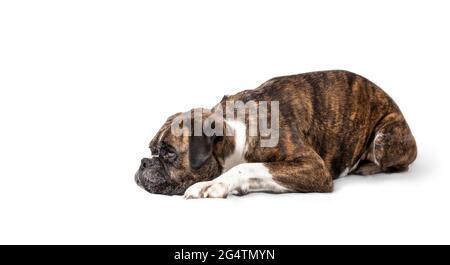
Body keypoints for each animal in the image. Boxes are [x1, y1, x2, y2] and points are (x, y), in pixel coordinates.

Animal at [134, 70, 418, 198]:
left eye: (170, 153)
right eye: (151, 150)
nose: (144, 162)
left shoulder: (314, 168)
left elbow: (247, 167)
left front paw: (214, 183)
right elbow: (258, 172)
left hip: (385, 140)